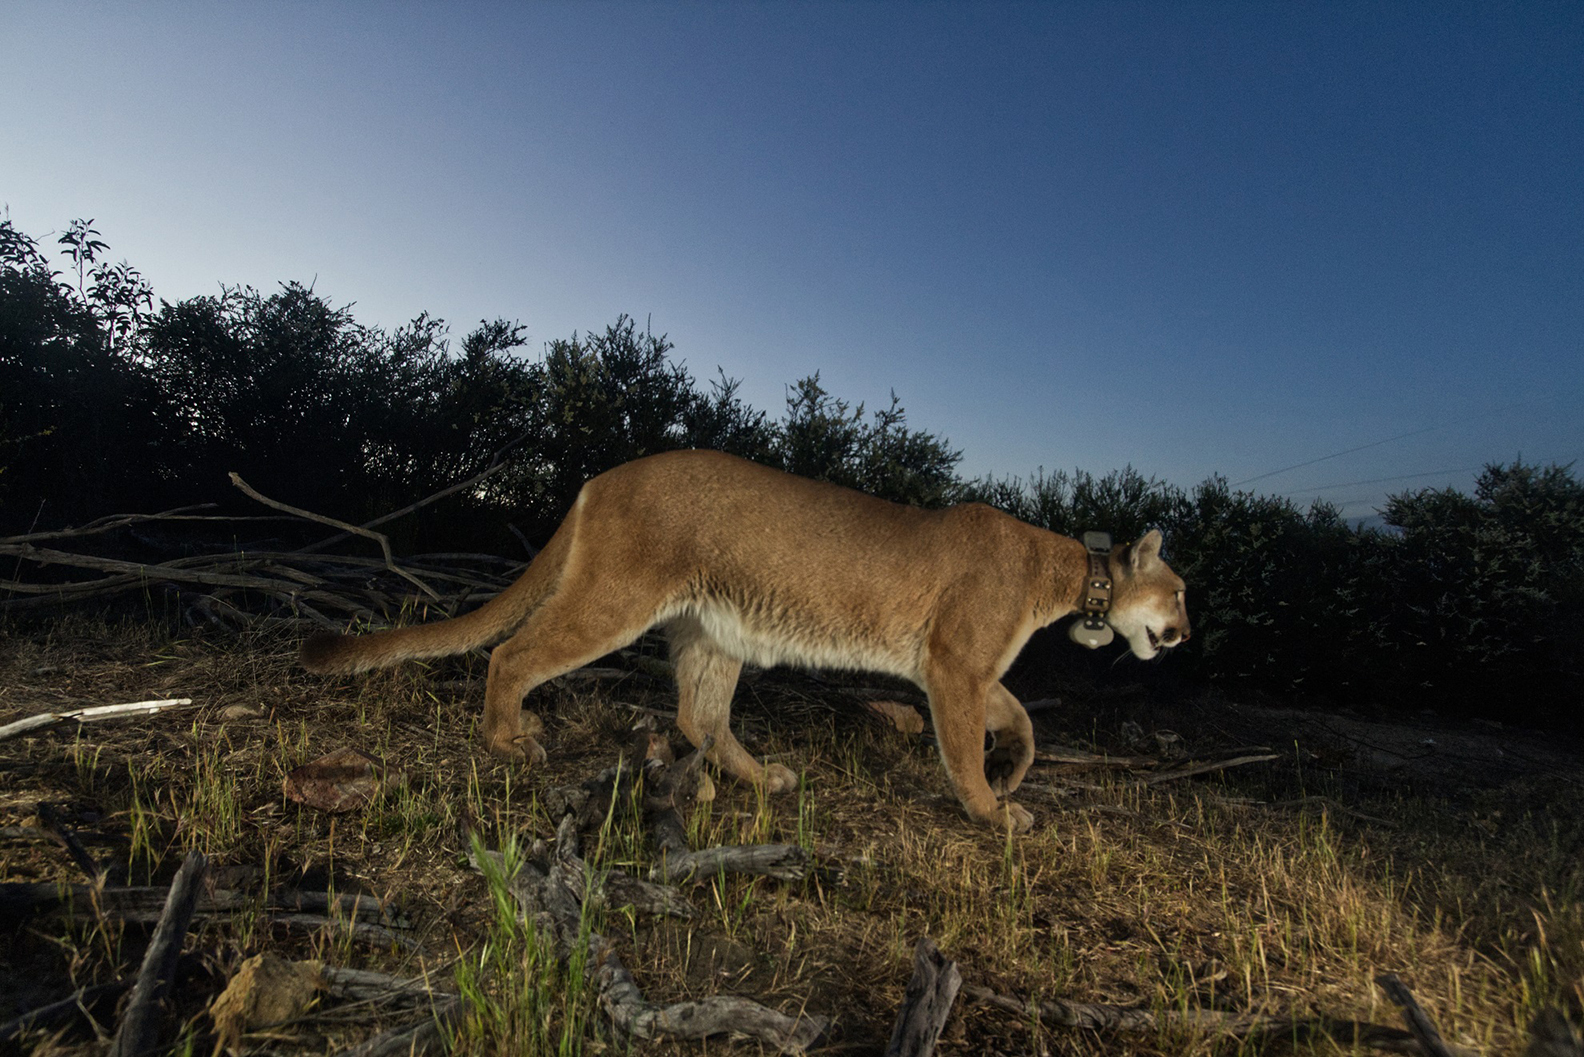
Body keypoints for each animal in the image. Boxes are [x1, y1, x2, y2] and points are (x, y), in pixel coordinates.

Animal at [299, 450, 1191, 830]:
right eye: (1180, 591)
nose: (1184, 631)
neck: (1071, 571)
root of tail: (599, 478)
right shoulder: (954, 664)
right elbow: (966, 747)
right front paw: (992, 809)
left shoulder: (961, 669)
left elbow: (1022, 717)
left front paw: (1014, 772)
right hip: (616, 597)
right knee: (511, 653)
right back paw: (509, 739)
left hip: (717, 627)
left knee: (699, 716)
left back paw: (764, 778)